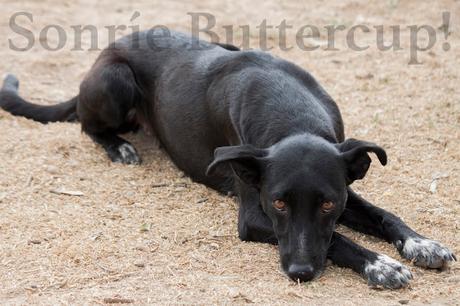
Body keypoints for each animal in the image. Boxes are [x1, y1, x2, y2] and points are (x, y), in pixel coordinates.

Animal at [0, 29, 454, 288]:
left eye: (327, 204)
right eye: (277, 203)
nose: (300, 273)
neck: (292, 118)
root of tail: (108, 49)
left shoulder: (344, 183)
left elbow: (383, 214)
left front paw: (422, 244)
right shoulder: (253, 217)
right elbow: (340, 240)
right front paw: (381, 265)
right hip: (115, 81)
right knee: (87, 125)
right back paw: (119, 146)